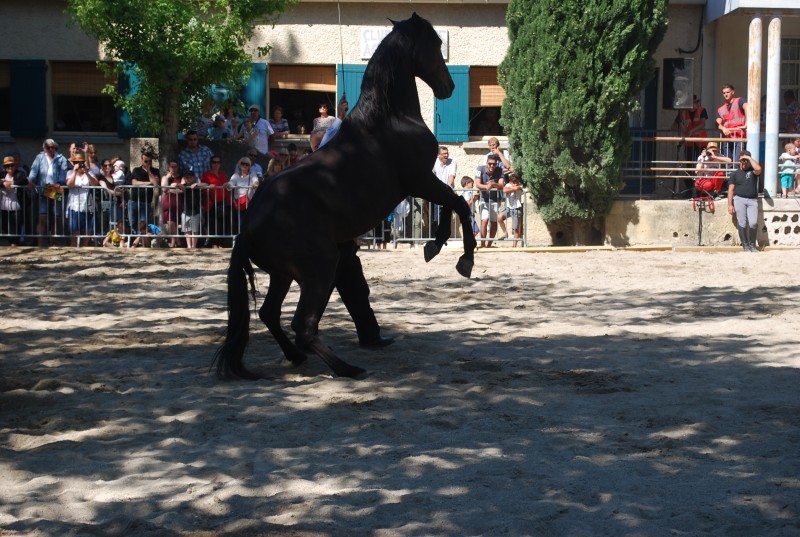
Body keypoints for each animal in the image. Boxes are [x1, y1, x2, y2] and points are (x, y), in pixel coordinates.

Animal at [212, 13, 476, 382]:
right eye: (435, 44)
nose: (448, 87)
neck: (388, 120)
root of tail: (248, 226)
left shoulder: (422, 185)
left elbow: (450, 206)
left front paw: (434, 246)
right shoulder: (421, 181)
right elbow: (459, 205)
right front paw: (462, 258)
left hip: (285, 274)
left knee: (269, 314)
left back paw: (298, 357)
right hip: (321, 267)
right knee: (303, 324)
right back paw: (347, 368)